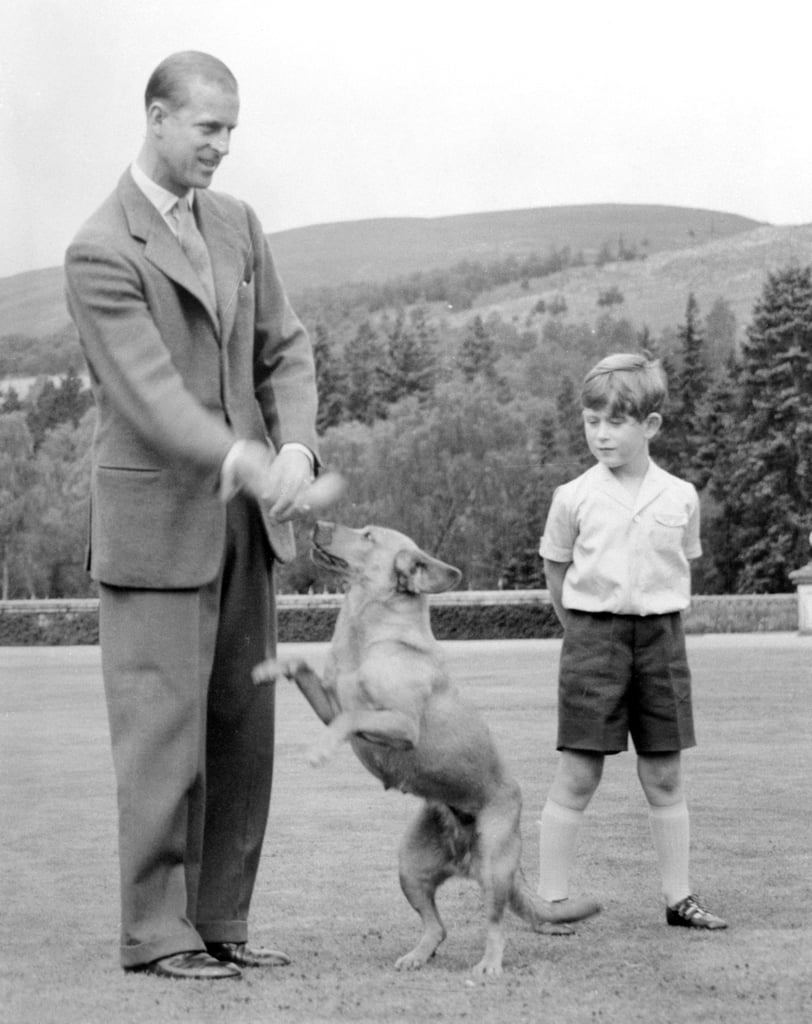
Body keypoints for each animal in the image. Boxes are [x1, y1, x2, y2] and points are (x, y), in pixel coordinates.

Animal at [251, 524, 593, 970]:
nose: (316, 525)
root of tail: (464, 855)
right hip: (410, 866)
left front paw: (319, 750)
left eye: (367, 534)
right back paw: (417, 955)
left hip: (494, 866)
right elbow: (303, 668)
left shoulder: (400, 723)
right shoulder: (330, 703)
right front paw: (267, 668)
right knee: (437, 926)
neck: (367, 635)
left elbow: (350, 719)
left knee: (495, 923)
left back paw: (489, 964)